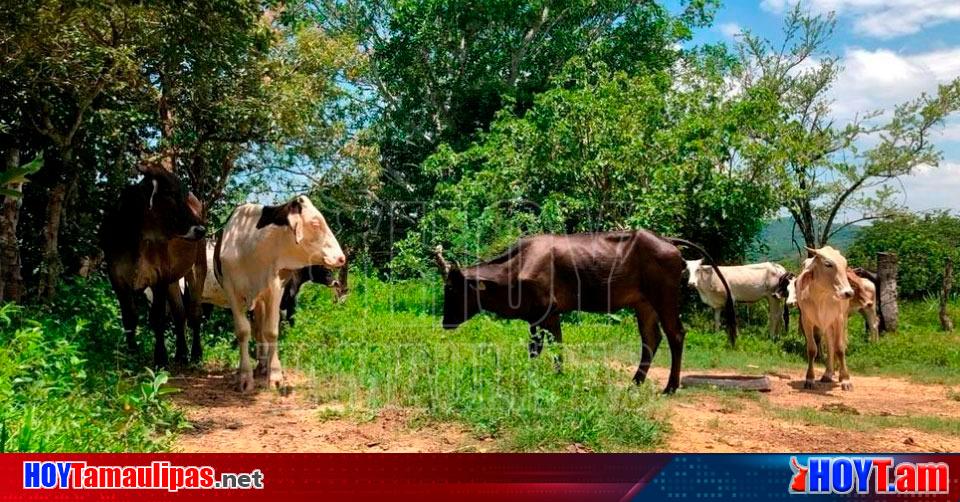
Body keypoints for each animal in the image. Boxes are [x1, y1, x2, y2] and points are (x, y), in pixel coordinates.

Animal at [100, 164, 207, 364]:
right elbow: (129, 317)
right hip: (174, 278)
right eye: (170, 193)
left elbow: (157, 318)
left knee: (194, 312)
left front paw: (160, 358)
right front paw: (132, 353)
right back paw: (181, 354)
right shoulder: (116, 278)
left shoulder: (160, 276)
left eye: (182, 194)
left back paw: (196, 353)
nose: (200, 229)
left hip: (198, 267)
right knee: (179, 313)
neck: (134, 240)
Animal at [215, 196, 344, 392]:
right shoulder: (231, 290)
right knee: (256, 330)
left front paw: (275, 374)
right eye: (315, 223)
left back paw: (264, 365)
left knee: (261, 330)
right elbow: (243, 331)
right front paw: (244, 376)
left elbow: (271, 331)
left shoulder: (275, 289)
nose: (341, 257)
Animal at [434, 231, 736, 396]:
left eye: (453, 288)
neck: (516, 267)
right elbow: (540, 349)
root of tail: (667, 242)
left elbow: (551, 347)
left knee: (675, 335)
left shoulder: (548, 313)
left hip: (664, 298)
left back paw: (670, 387)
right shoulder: (537, 318)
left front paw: (552, 376)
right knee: (651, 339)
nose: (446, 323)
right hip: (644, 304)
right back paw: (635, 383)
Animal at [796, 245, 856, 390]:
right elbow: (812, 349)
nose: (849, 292)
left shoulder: (839, 319)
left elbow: (840, 348)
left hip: (841, 319)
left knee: (835, 345)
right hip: (827, 325)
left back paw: (835, 374)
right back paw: (828, 374)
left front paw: (846, 379)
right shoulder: (806, 320)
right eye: (828, 264)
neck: (821, 296)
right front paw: (810, 379)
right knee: (829, 344)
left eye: (845, 264)